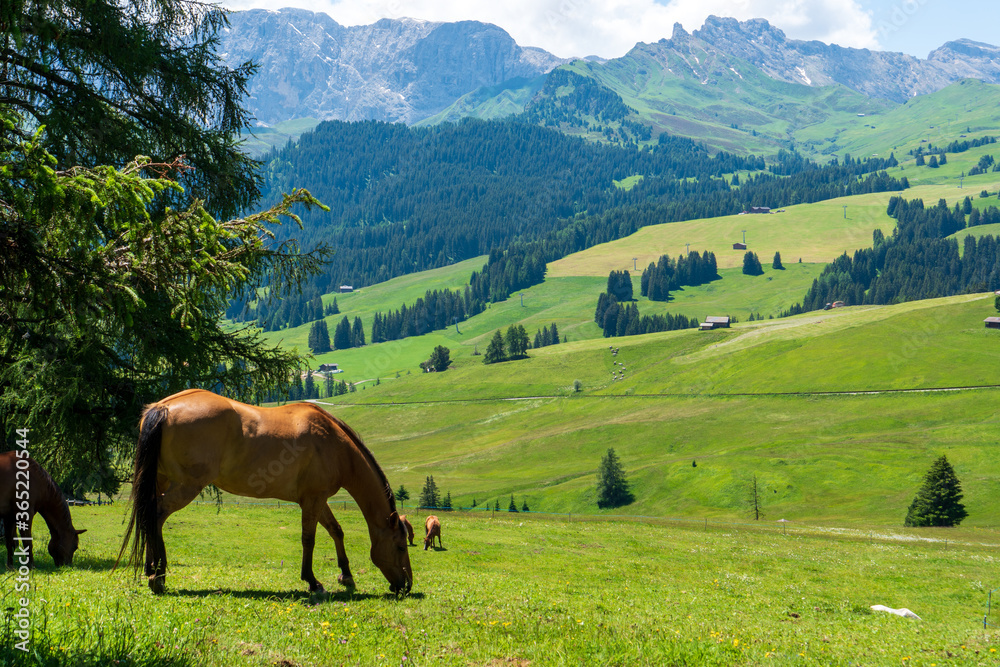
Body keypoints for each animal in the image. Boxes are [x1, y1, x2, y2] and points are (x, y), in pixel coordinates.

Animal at [118, 388, 414, 596]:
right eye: (400, 546)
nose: (407, 585)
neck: (333, 442)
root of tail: (164, 407)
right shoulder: (313, 500)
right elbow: (309, 539)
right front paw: (312, 581)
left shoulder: (316, 499)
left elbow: (336, 531)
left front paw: (346, 575)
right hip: (186, 486)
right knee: (157, 516)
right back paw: (158, 576)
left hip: (161, 481)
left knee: (148, 517)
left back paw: (150, 569)